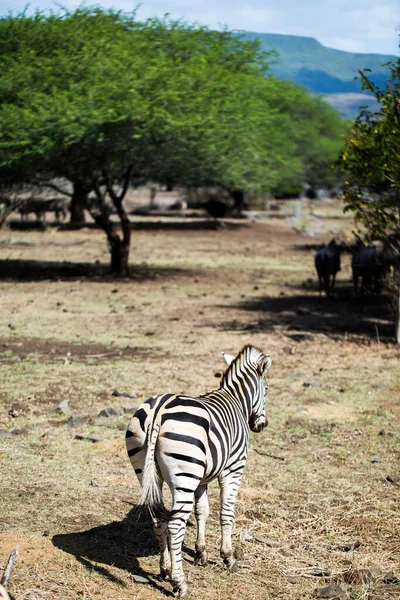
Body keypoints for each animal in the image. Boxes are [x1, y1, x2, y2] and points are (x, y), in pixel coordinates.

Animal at [124, 344, 272, 596]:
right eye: (267, 390)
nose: (261, 426)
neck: (236, 400)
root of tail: (158, 412)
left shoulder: (202, 477)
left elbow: (202, 510)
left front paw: (201, 553)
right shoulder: (233, 469)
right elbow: (226, 512)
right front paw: (228, 558)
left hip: (147, 471)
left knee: (158, 520)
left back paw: (165, 569)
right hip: (185, 476)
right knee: (175, 524)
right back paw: (180, 584)